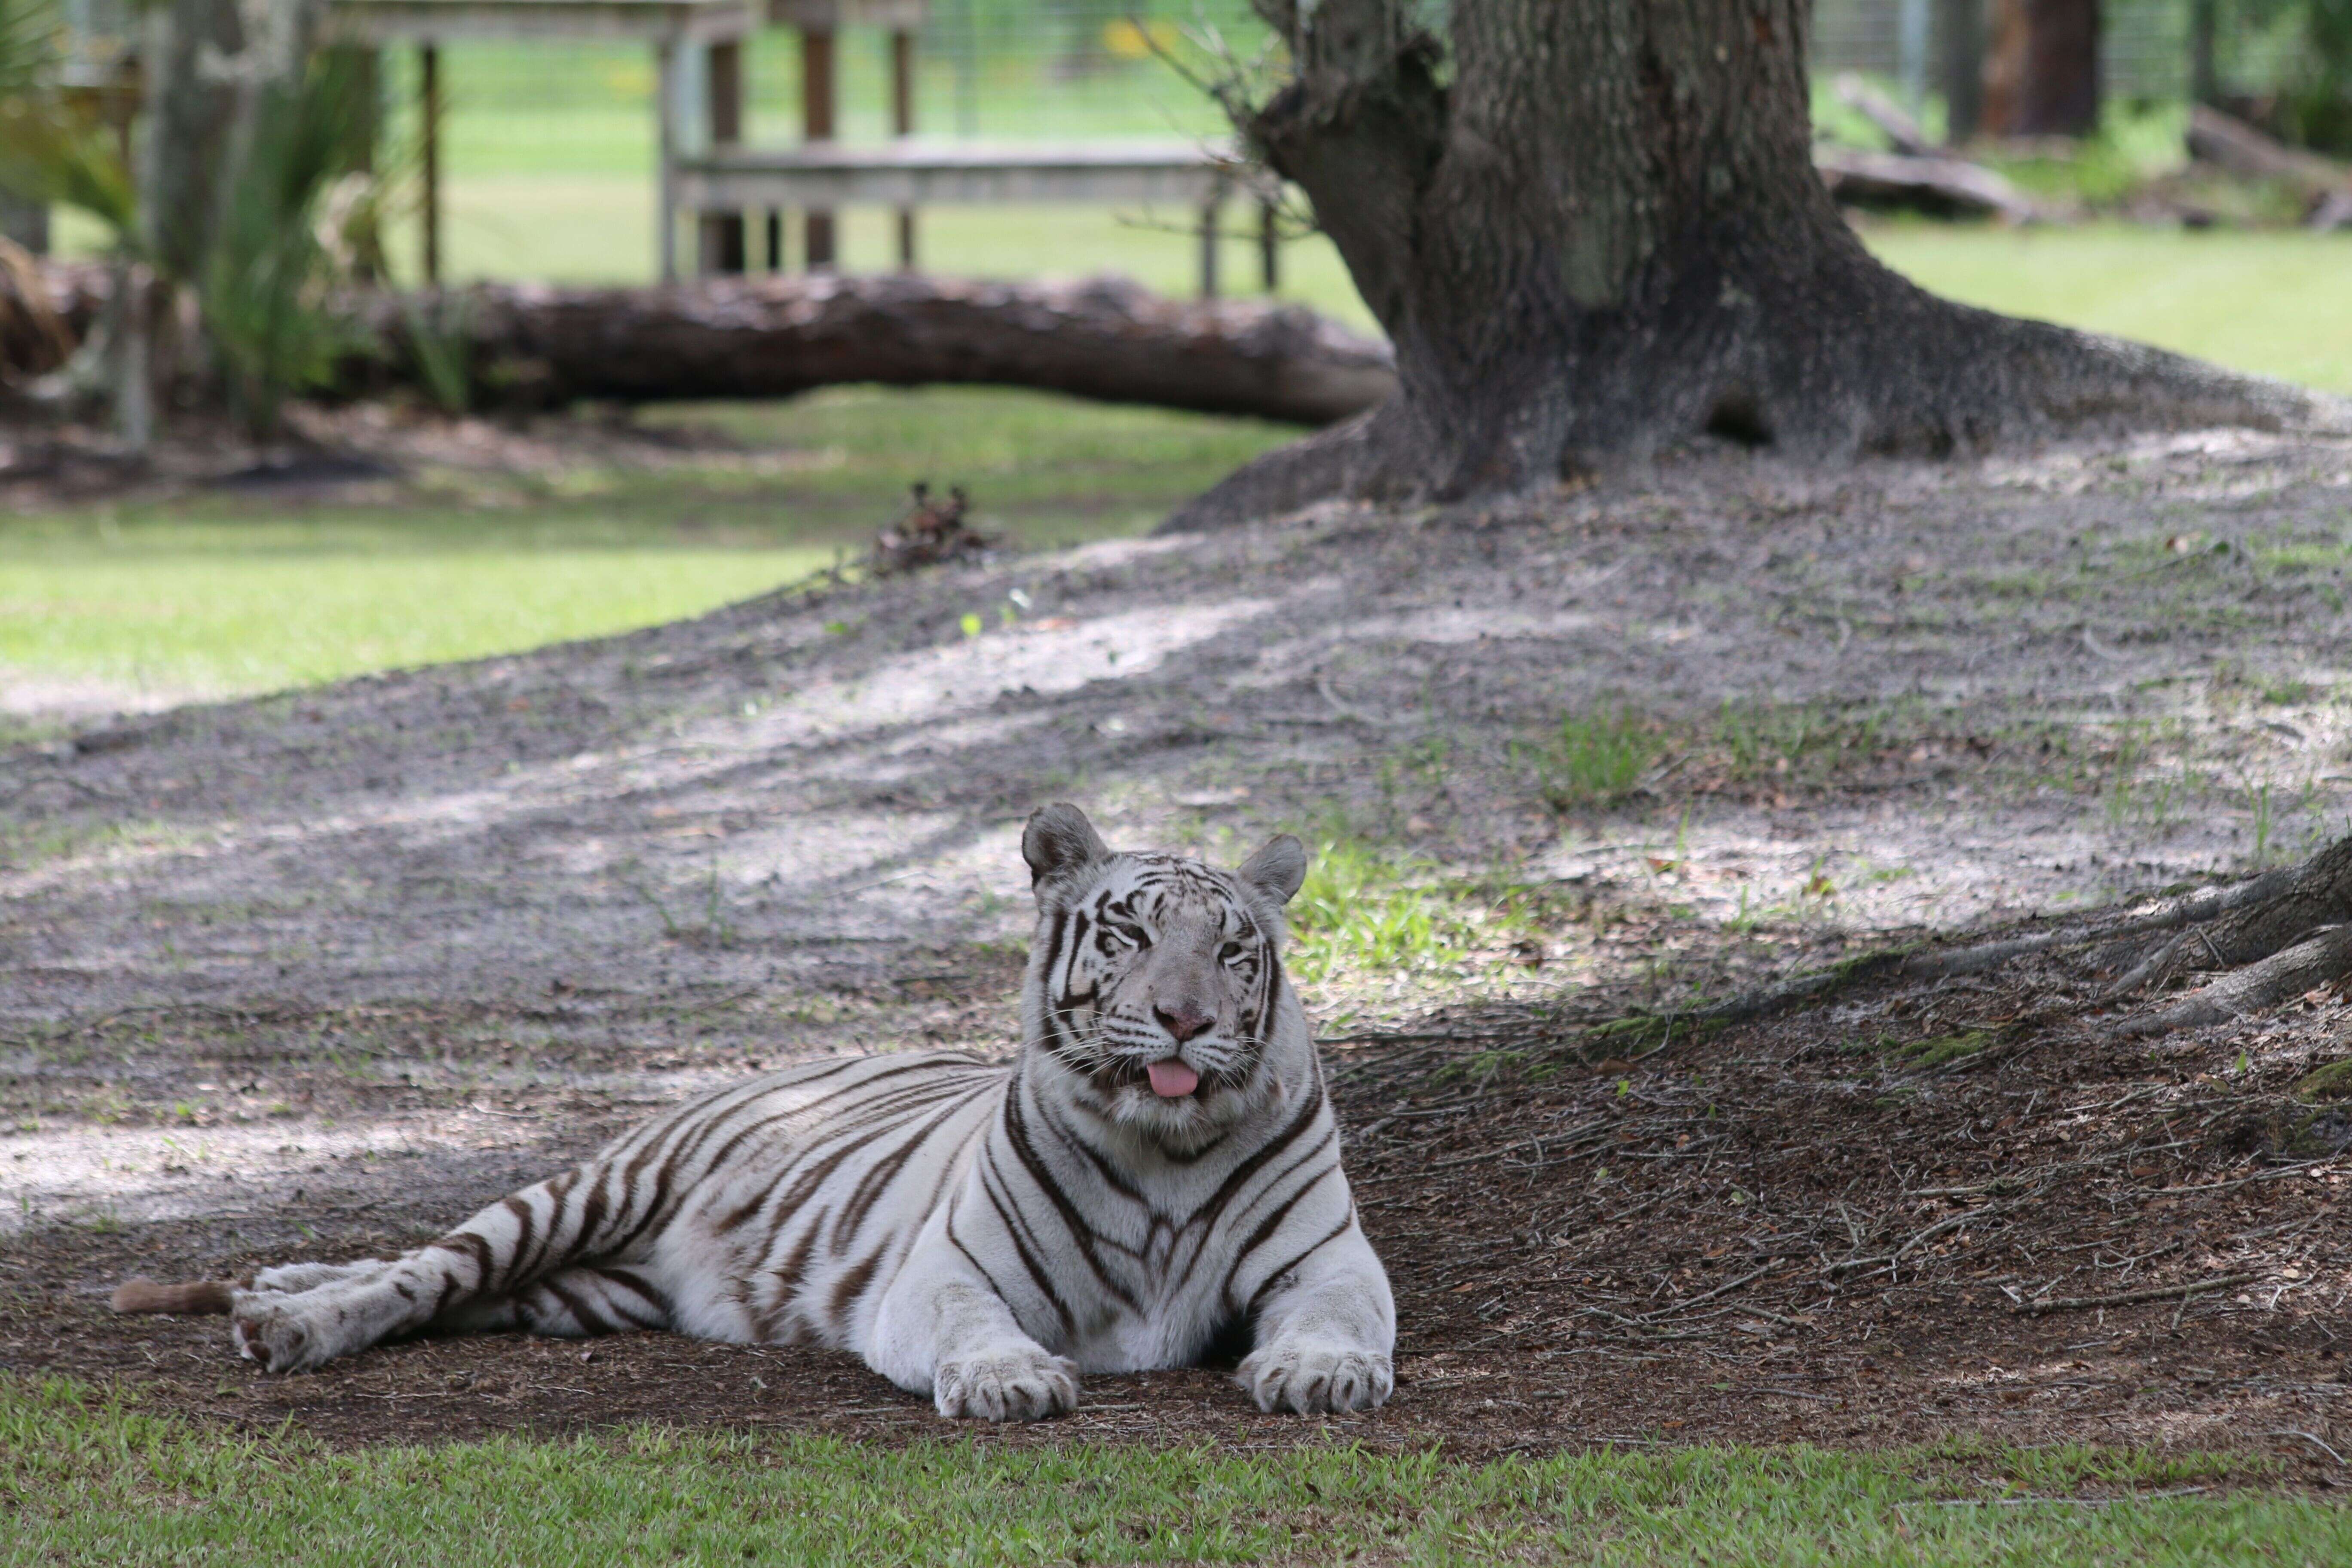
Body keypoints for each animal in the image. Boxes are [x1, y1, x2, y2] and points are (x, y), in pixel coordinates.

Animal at [110, 808, 1392, 1420]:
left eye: (1231, 949)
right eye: (1128, 933)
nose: (1183, 1018)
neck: (1163, 1150)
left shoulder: (1328, 1260)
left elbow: (1335, 1319)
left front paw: (1318, 1375)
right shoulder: (947, 1274)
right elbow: (979, 1333)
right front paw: (1008, 1383)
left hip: (574, 1293)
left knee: (441, 1292)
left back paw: (283, 1289)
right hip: (576, 1197)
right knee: (417, 1270)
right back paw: (289, 1318)